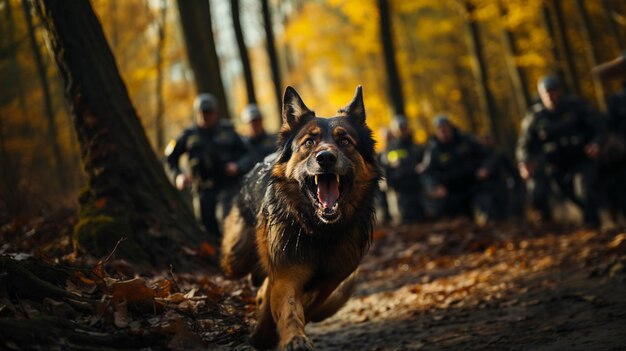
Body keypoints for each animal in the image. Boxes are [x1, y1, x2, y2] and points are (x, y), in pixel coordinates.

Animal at [221, 86, 380, 351]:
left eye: (345, 141)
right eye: (309, 142)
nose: (325, 158)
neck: (320, 231)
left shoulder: (332, 278)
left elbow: (307, 304)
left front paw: (269, 333)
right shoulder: (287, 273)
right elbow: (288, 308)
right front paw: (292, 338)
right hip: (235, 259)